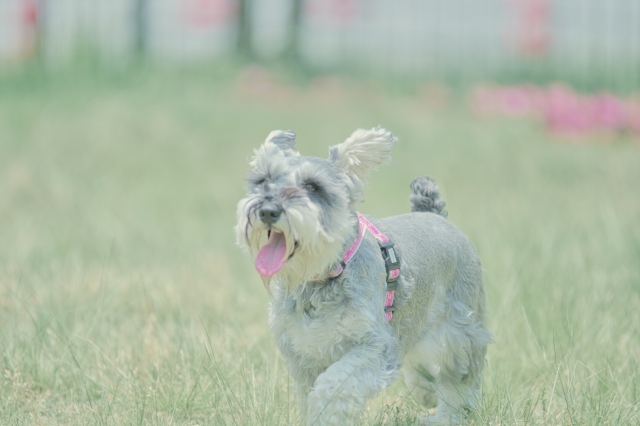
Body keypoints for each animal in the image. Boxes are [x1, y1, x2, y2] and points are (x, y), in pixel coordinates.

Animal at [235, 127, 491, 425]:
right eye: (263, 180)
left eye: (312, 186)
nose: (268, 210)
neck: (324, 276)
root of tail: (436, 215)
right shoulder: (303, 355)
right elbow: (310, 393)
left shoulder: (373, 346)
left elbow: (332, 387)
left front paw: (325, 414)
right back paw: (425, 391)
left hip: (461, 335)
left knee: (459, 384)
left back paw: (444, 417)